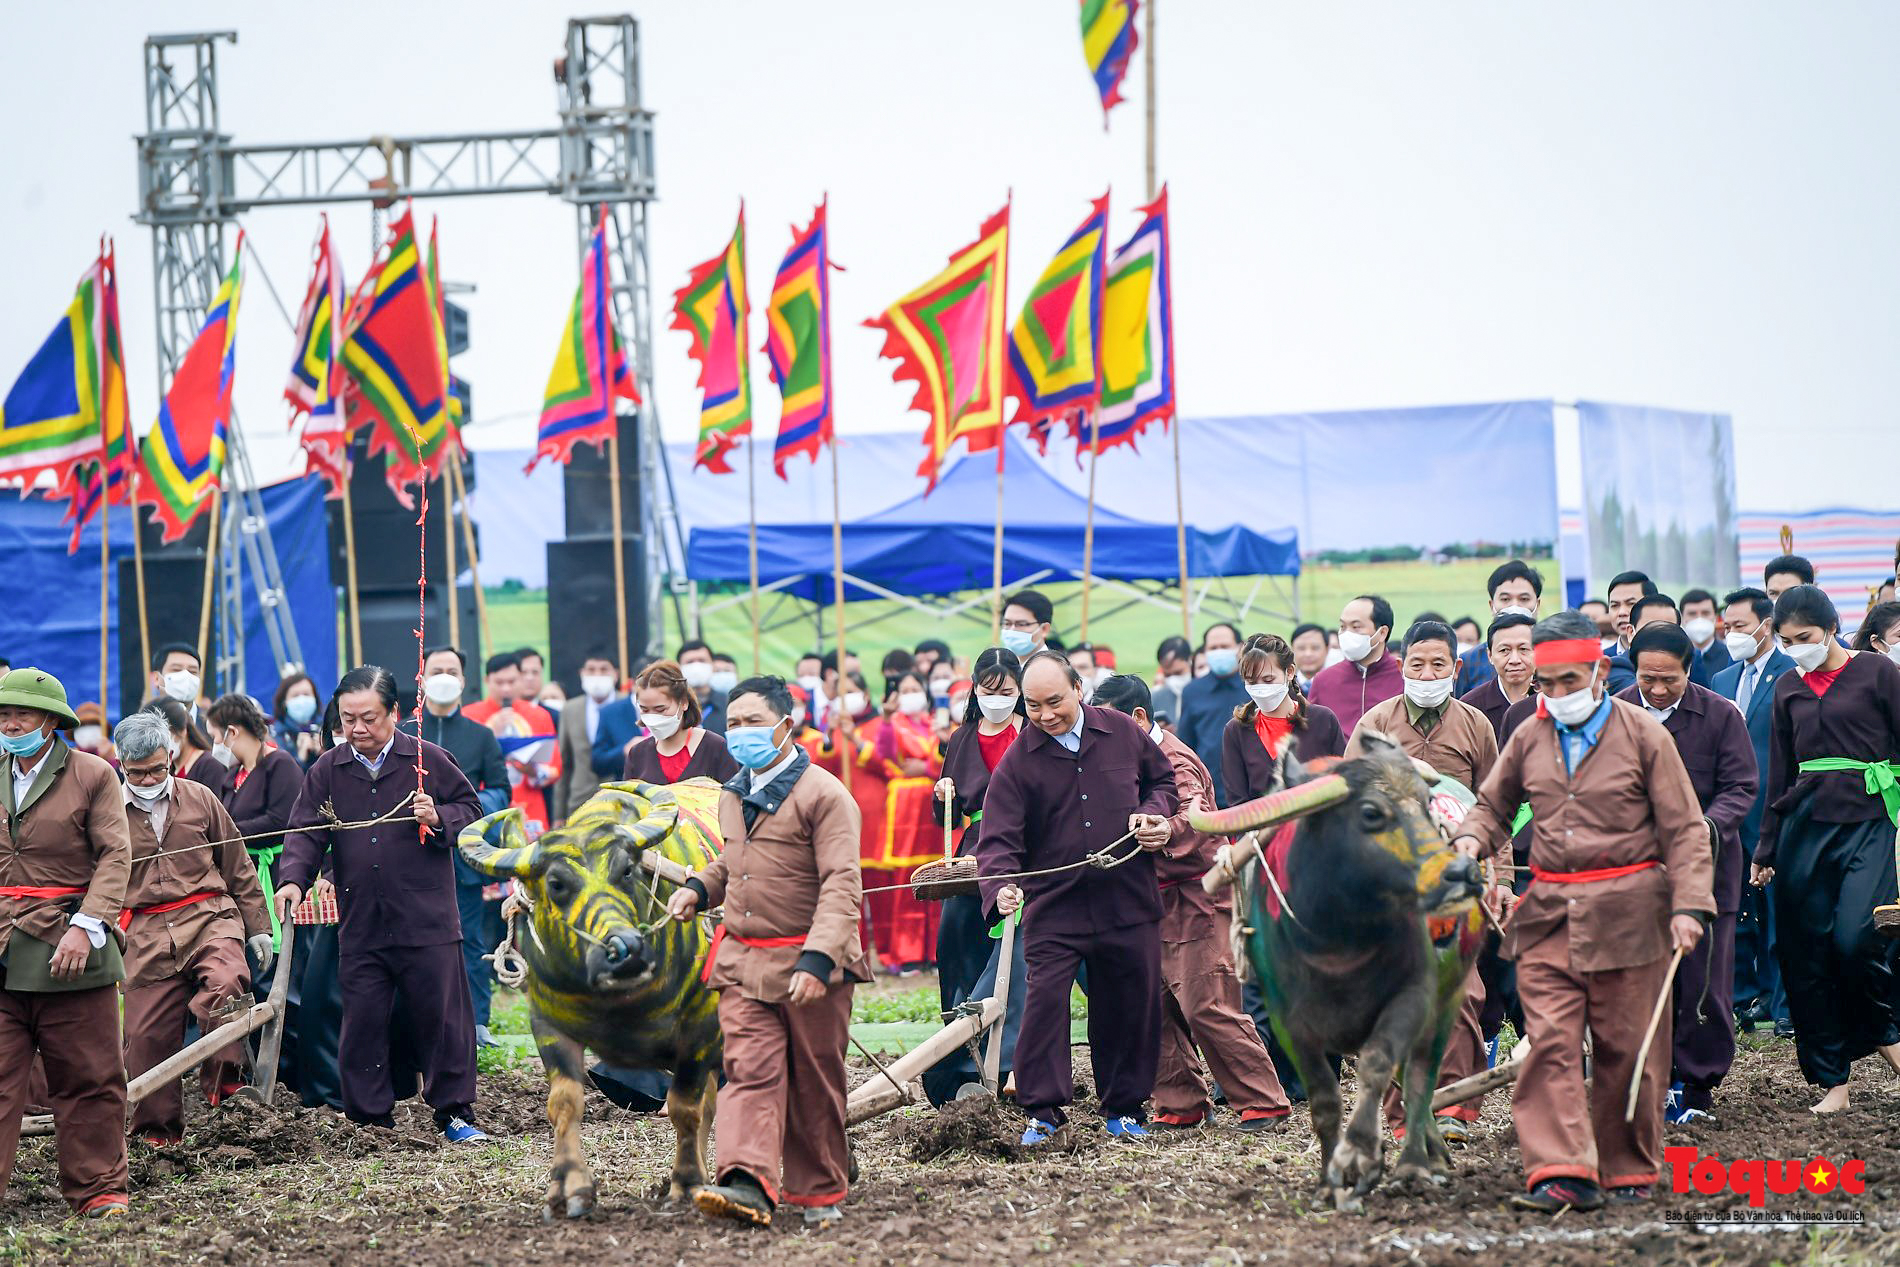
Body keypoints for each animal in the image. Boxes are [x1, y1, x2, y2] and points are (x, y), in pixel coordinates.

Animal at [461, 775, 725, 1215]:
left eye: (627, 871)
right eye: (556, 884)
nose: (626, 950)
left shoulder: (700, 1028)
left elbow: (688, 1107)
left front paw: (687, 1183)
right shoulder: (548, 1026)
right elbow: (564, 1103)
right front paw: (570, 1187)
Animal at [1193, 737, 1489, 1215]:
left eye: (1426, 804)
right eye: (1370, 812)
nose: (1462, 873)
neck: (1339, 939)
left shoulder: (1414, 995)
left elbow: (1377, 1066)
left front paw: (1360, 1156)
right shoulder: (1288, 1022)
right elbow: (1325, 1099)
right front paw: (1330, 1180)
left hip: (1449, 997)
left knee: (1421, 1076)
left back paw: (1418, 1164)